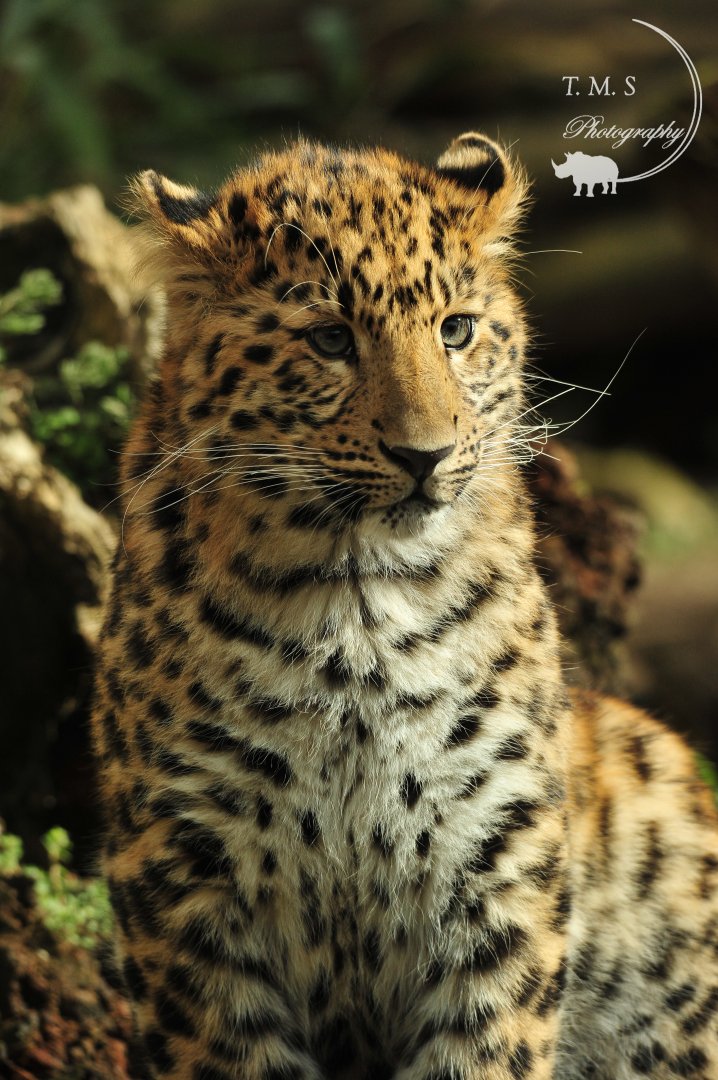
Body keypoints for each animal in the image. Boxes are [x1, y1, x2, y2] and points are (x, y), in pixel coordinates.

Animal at [91, 132, 718, 1080]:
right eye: (329, 339)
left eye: (455, 330)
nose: (424, 455)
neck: (357, 606)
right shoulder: (189, 875)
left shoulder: (496, 859)